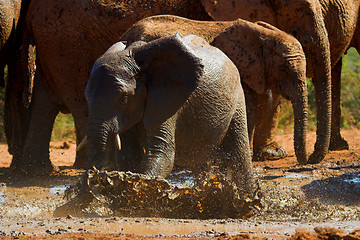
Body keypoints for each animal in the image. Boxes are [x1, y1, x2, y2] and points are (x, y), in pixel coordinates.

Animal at [86, 33, 255, 194]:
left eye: (124, 98)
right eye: (86, 97)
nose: (94, 178)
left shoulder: (167, 100)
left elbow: (162, 152)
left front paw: (138, 187)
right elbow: (129, 155)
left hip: (238, 100)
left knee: (240, 155)